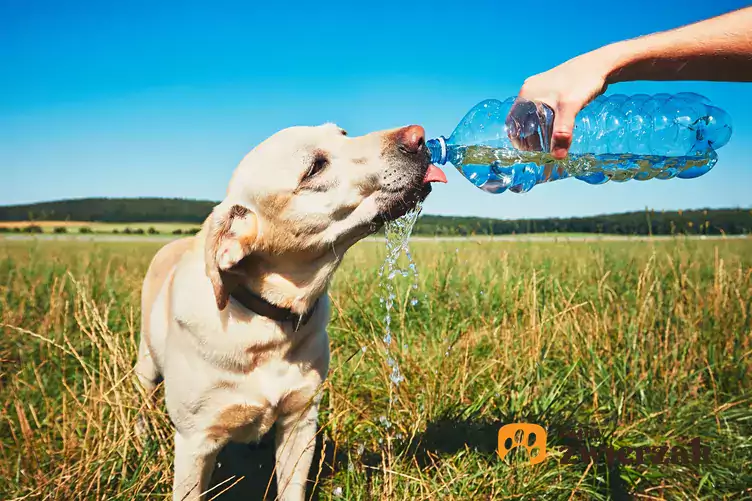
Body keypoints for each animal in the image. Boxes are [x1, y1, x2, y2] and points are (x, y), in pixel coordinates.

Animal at [135, 122, 446, 500]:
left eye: (343, 133)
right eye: (314, 168)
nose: (418, 136)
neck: (266, 322)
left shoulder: (300, 421)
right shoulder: (195, 442)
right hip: (146, 366)